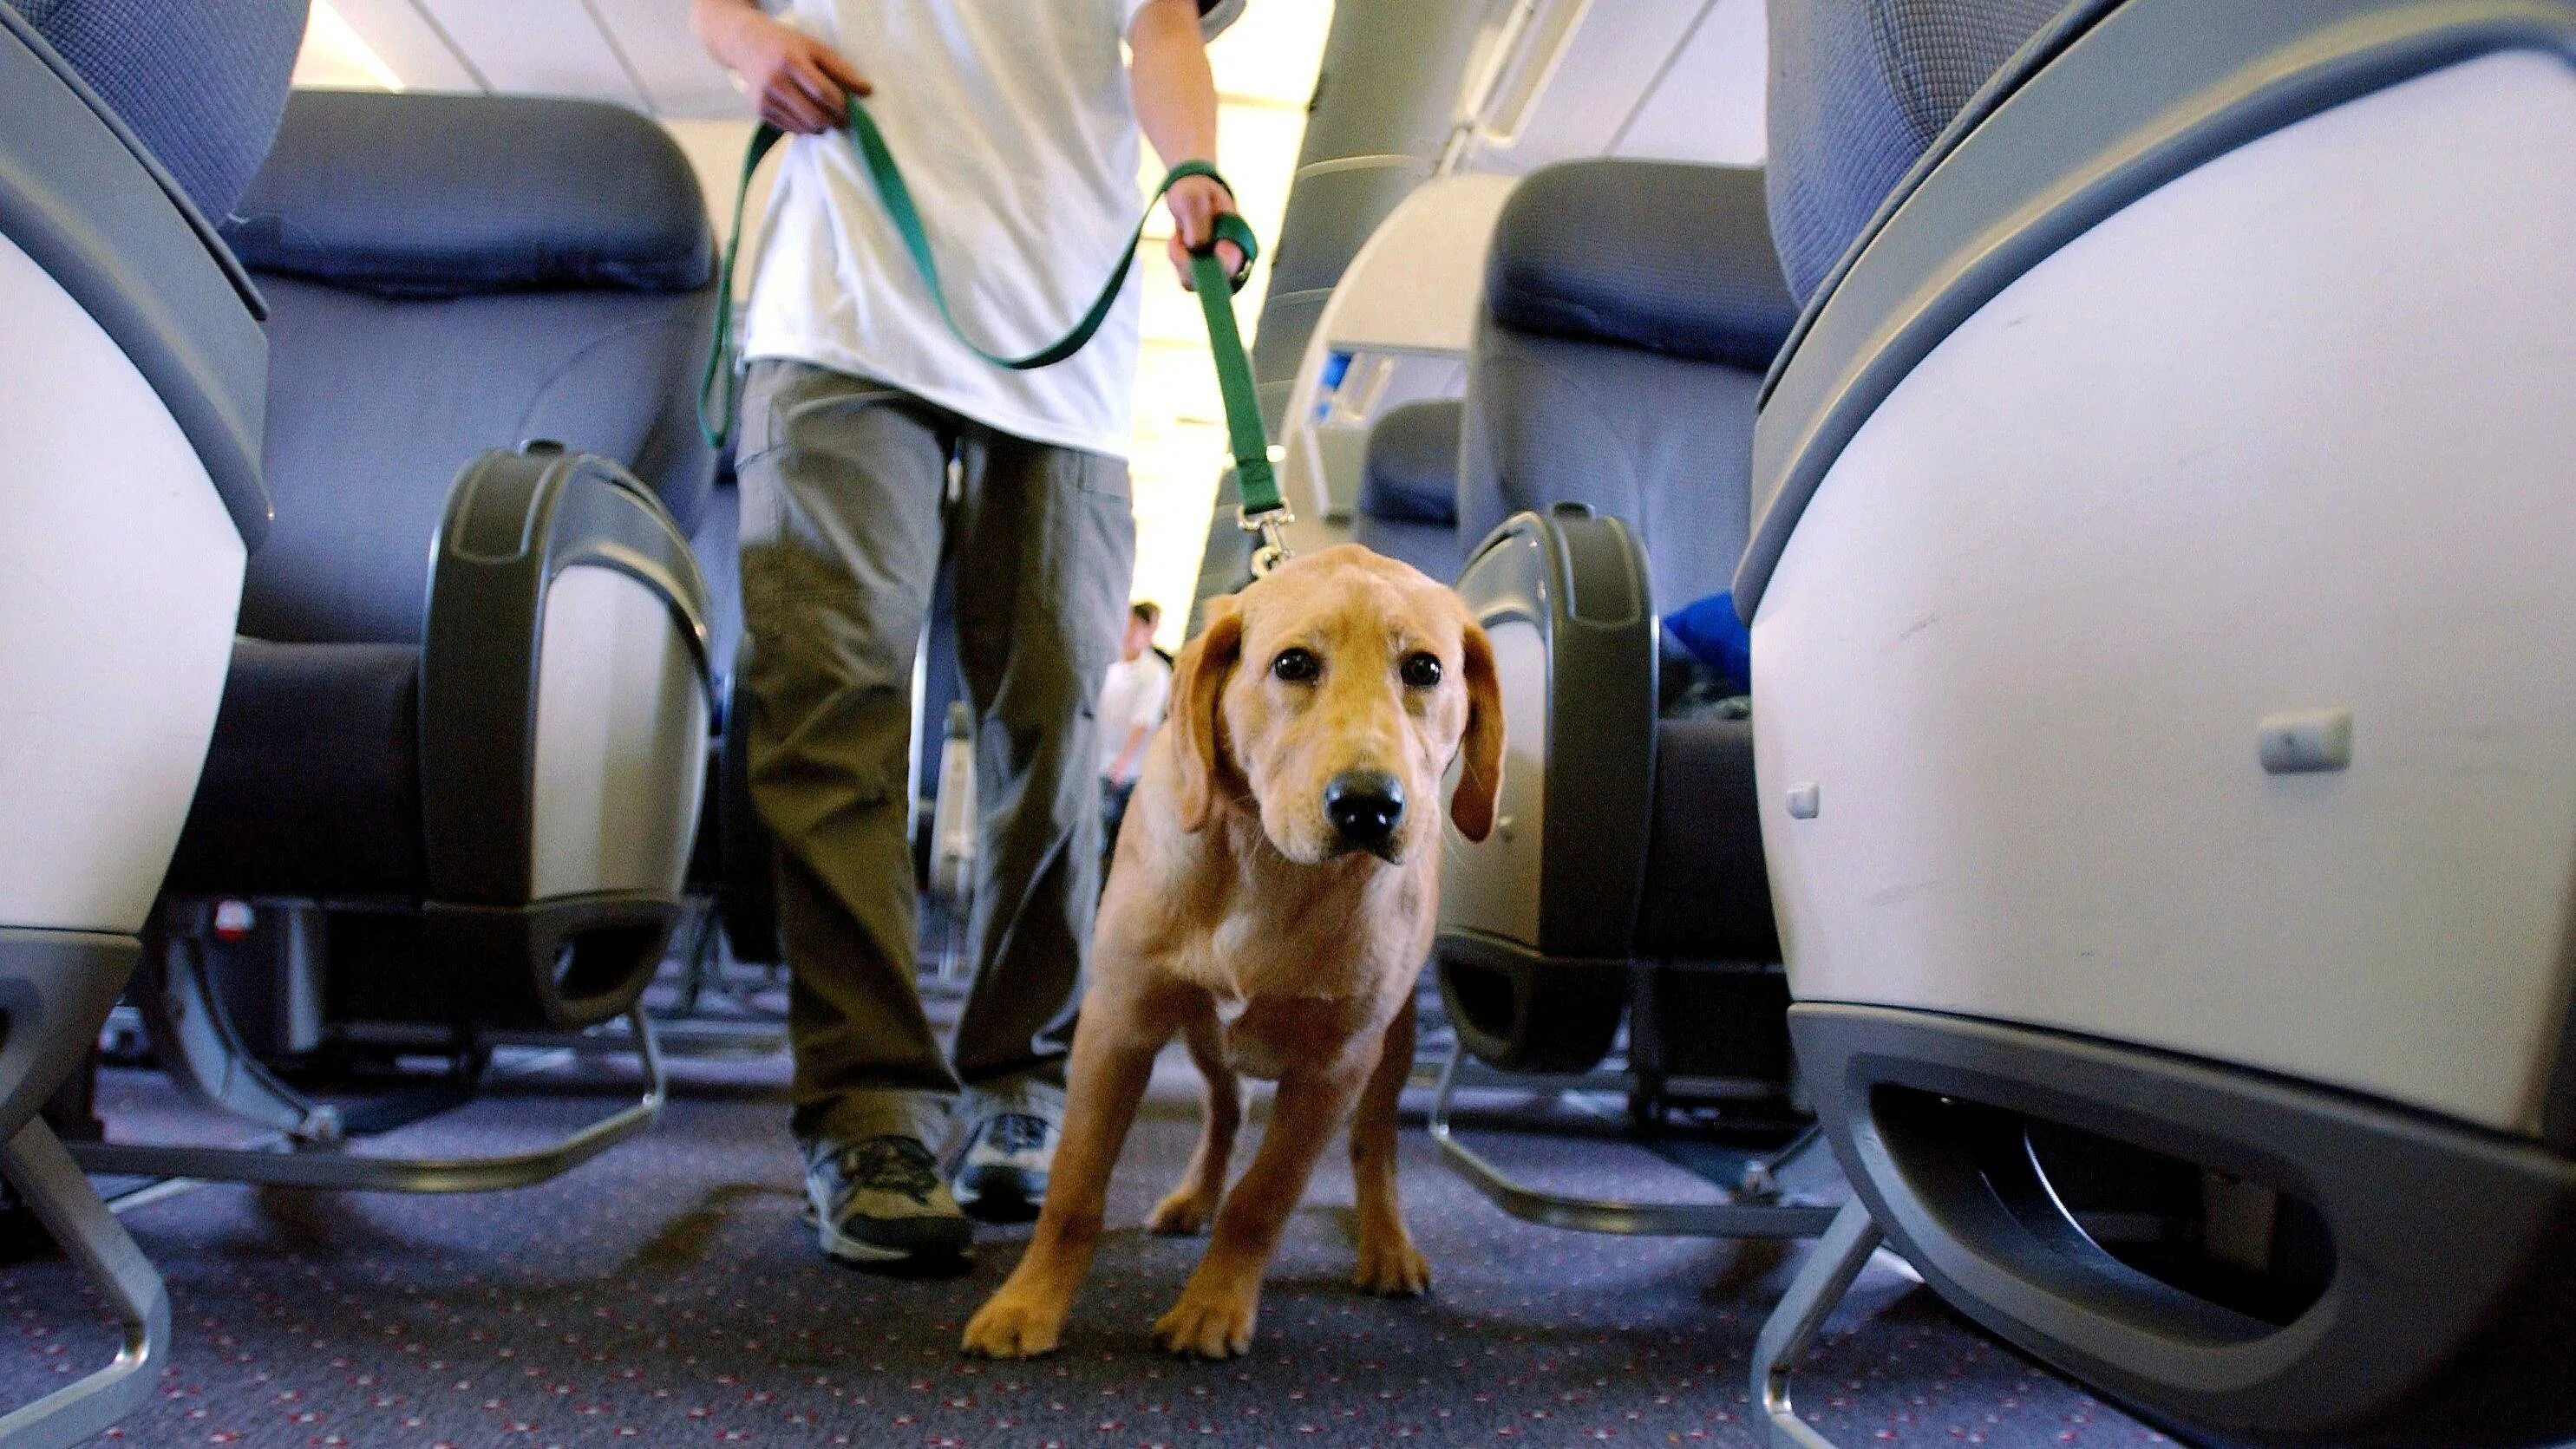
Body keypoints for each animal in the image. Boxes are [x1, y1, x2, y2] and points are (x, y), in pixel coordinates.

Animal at [958, 545, 1504, 1359]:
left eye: (1426, 670)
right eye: (1294, 663)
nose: (1369, 807)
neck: (1266, 864)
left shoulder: (1335, 1068)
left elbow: (1262, 1199)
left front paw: (1214, 1305)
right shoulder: (1118, 1024)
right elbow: (1074, 1187)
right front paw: (1028, 1303)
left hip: (1392, 1042)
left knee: (1374, 1144)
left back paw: (1387, 1244)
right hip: (1203, 1033)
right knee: (1227, 1108)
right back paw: (1194, 1196)